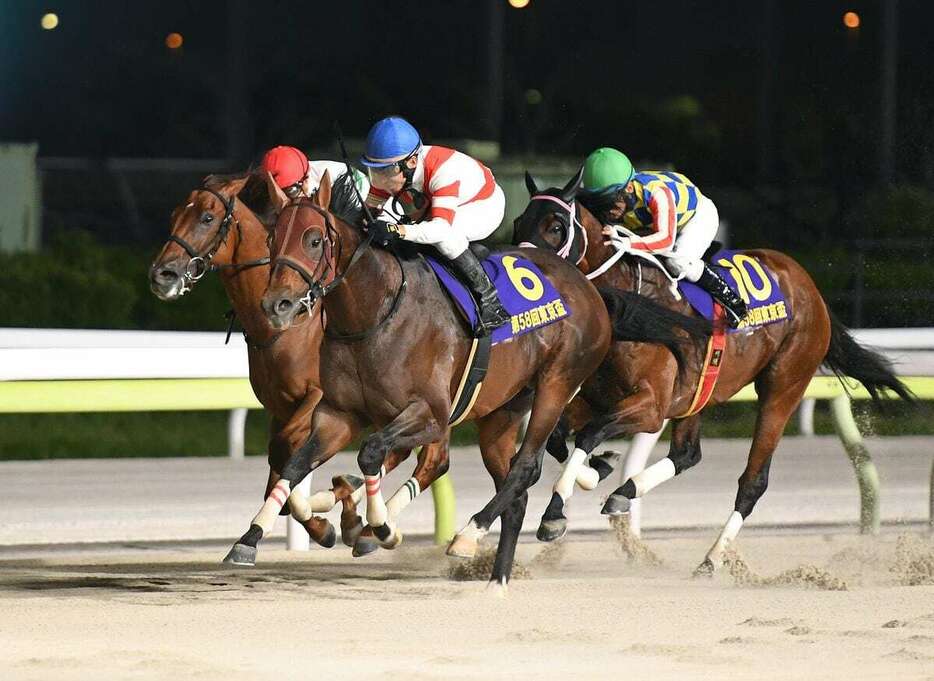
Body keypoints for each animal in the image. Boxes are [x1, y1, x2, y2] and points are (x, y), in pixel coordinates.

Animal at [150, 173, 450, 556]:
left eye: (206, 217)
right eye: (174, 214)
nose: (162, 274)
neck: (284, 329)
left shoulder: (315, 398)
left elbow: (284, 454)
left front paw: (318, 523)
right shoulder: (281, 407)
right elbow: (281, 462)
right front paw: (314, 522)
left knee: (432, 458)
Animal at [512, 167, 916, 572]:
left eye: (556, 225)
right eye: (518, 222)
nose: (526, 270)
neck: (634, 304)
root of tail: (810, 288)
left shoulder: (651, 408)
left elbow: (589, 433)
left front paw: (555, 513)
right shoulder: (597, 397)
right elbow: (558, 436)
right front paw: (598, 469)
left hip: (784, 385)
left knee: (754, 480)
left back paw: (712, 557)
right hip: (699, 395)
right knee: (687, 454)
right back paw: (625, 493)